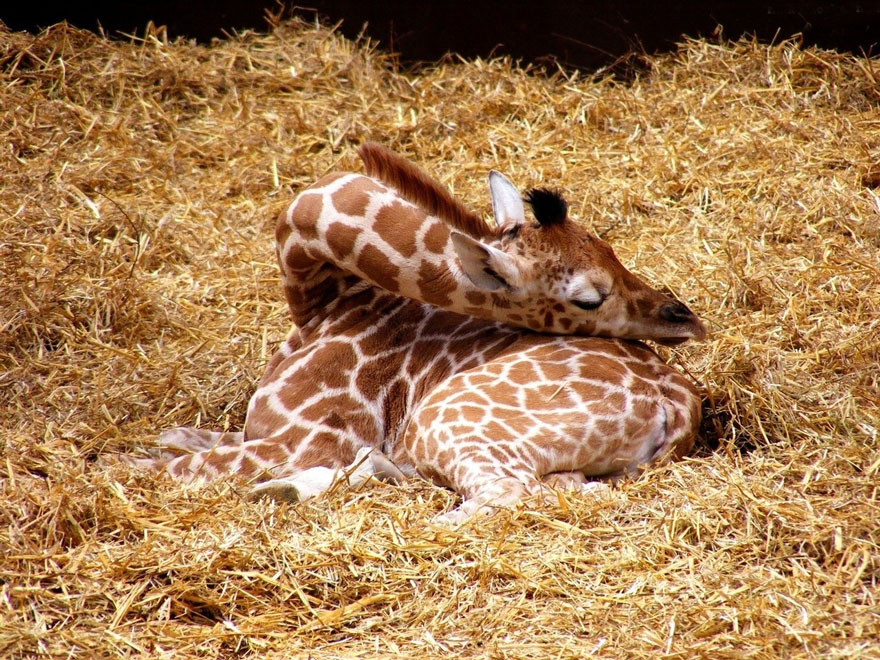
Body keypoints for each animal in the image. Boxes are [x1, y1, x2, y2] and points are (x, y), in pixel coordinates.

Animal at [136, 144, 705, 521]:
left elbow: (146, 468)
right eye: (590, 296)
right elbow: (174, 442)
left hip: (444, 420)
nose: (685, 319)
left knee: (510, 494)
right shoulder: (263, 432)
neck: (322, 300)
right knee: (566, 485)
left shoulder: (311, 440)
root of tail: (677, 403)